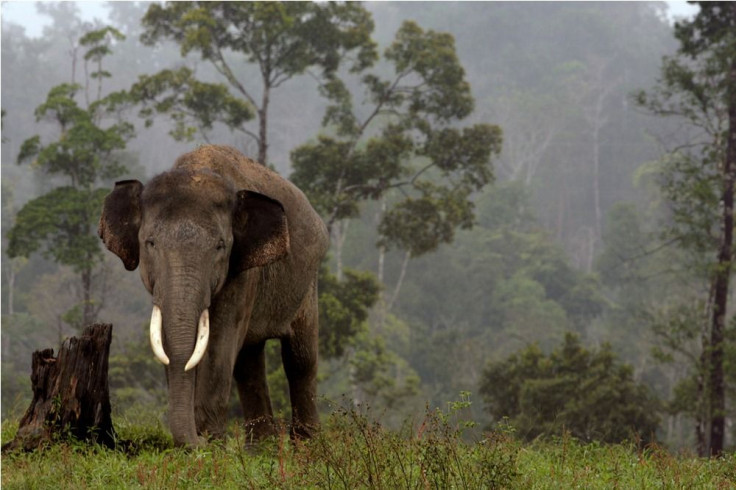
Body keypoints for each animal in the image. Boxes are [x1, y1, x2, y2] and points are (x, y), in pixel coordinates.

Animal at [99, 144, 330, 446]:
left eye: (220, 246)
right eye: (150, 243)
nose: (198, 440)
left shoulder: (243, 271)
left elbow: (221, 338)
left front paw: (212, 443)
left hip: (309, 282)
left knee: (299, 359)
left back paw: (307, 445)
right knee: (249, 361)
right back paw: (262, 447)